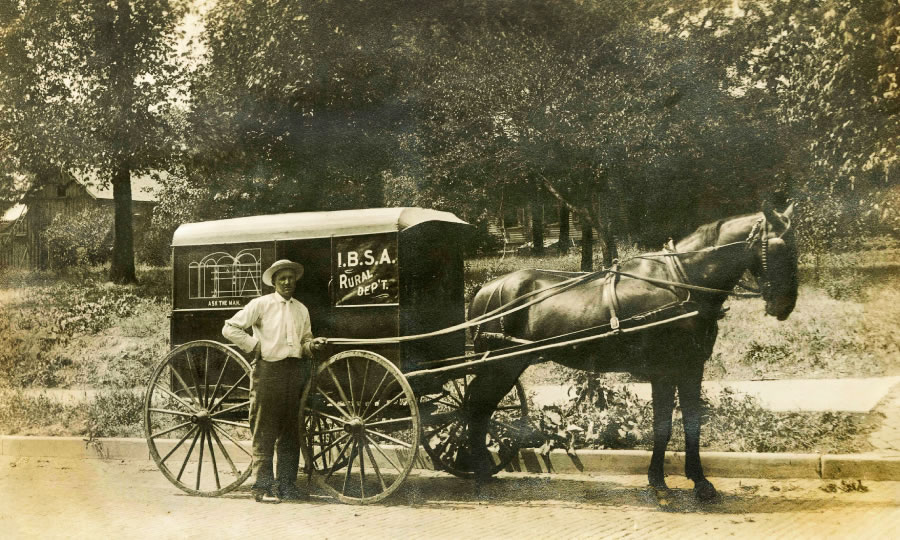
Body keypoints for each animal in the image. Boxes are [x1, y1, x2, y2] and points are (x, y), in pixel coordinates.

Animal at [468, 204, 800, 502]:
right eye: (779, 248)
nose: (786, 304)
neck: (682, 281)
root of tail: (485, 289)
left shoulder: (691, 368)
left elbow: (691, 422)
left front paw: (700, 483)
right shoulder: (664, 371)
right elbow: (663, 426)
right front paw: (659, 482)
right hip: (501, 367)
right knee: (477, 407)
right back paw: (477, 467)